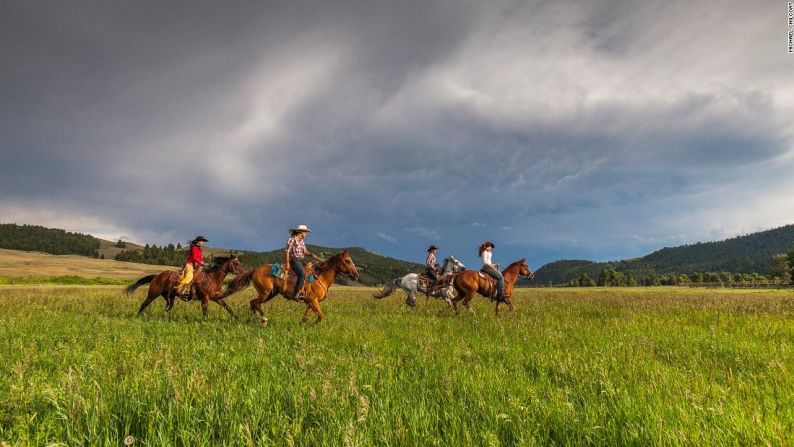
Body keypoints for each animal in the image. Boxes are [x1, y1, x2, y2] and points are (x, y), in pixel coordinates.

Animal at [218, 250, 358, 324]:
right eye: (348, 261)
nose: (356, 274)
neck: (320, 277)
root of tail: (255, 270)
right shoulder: (313, 301)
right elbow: (321, 316)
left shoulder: (311, 302)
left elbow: (307, 317)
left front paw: (303, 326)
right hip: (265, 293)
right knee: (256, 303)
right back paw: (264, 320)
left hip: (270, 294)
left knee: (253, 303)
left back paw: (254, 320)